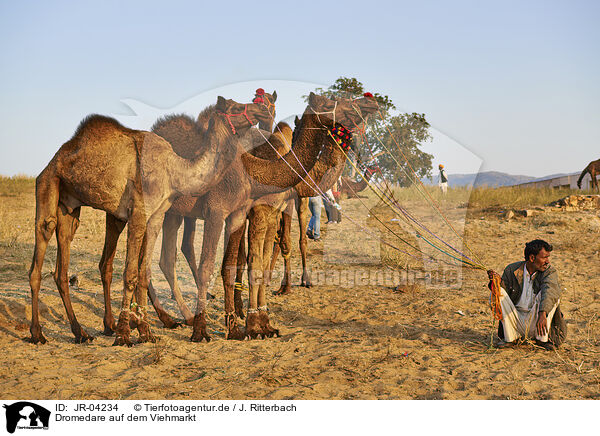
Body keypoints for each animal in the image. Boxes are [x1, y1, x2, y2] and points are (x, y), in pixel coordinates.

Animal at [27, 97, 272, 346]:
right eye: (236, 107)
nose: (262, 109)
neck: (174, 169)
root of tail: (54, 159)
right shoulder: (139, 213)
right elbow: (130, 274)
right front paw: (124, 334)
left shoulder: (156, 216)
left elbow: (143, 273)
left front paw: (145, 333)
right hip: (48, 184)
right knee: (41, 246)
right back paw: (38, 334)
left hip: (70, 206)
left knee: (63, 264)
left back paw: (81, 332)